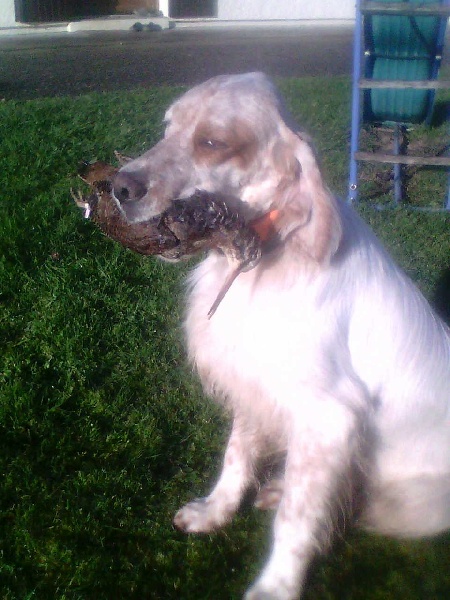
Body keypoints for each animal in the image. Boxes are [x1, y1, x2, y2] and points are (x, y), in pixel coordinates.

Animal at [111, 72, 450, 596]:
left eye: (212, 142)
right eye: (168, 128)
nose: (118, 186)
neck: (261, 255)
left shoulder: (327, 417)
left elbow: (296, 519)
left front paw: (276, 586)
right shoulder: (252, 382)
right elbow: (235, 456)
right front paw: (216, 511)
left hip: (417, 502)